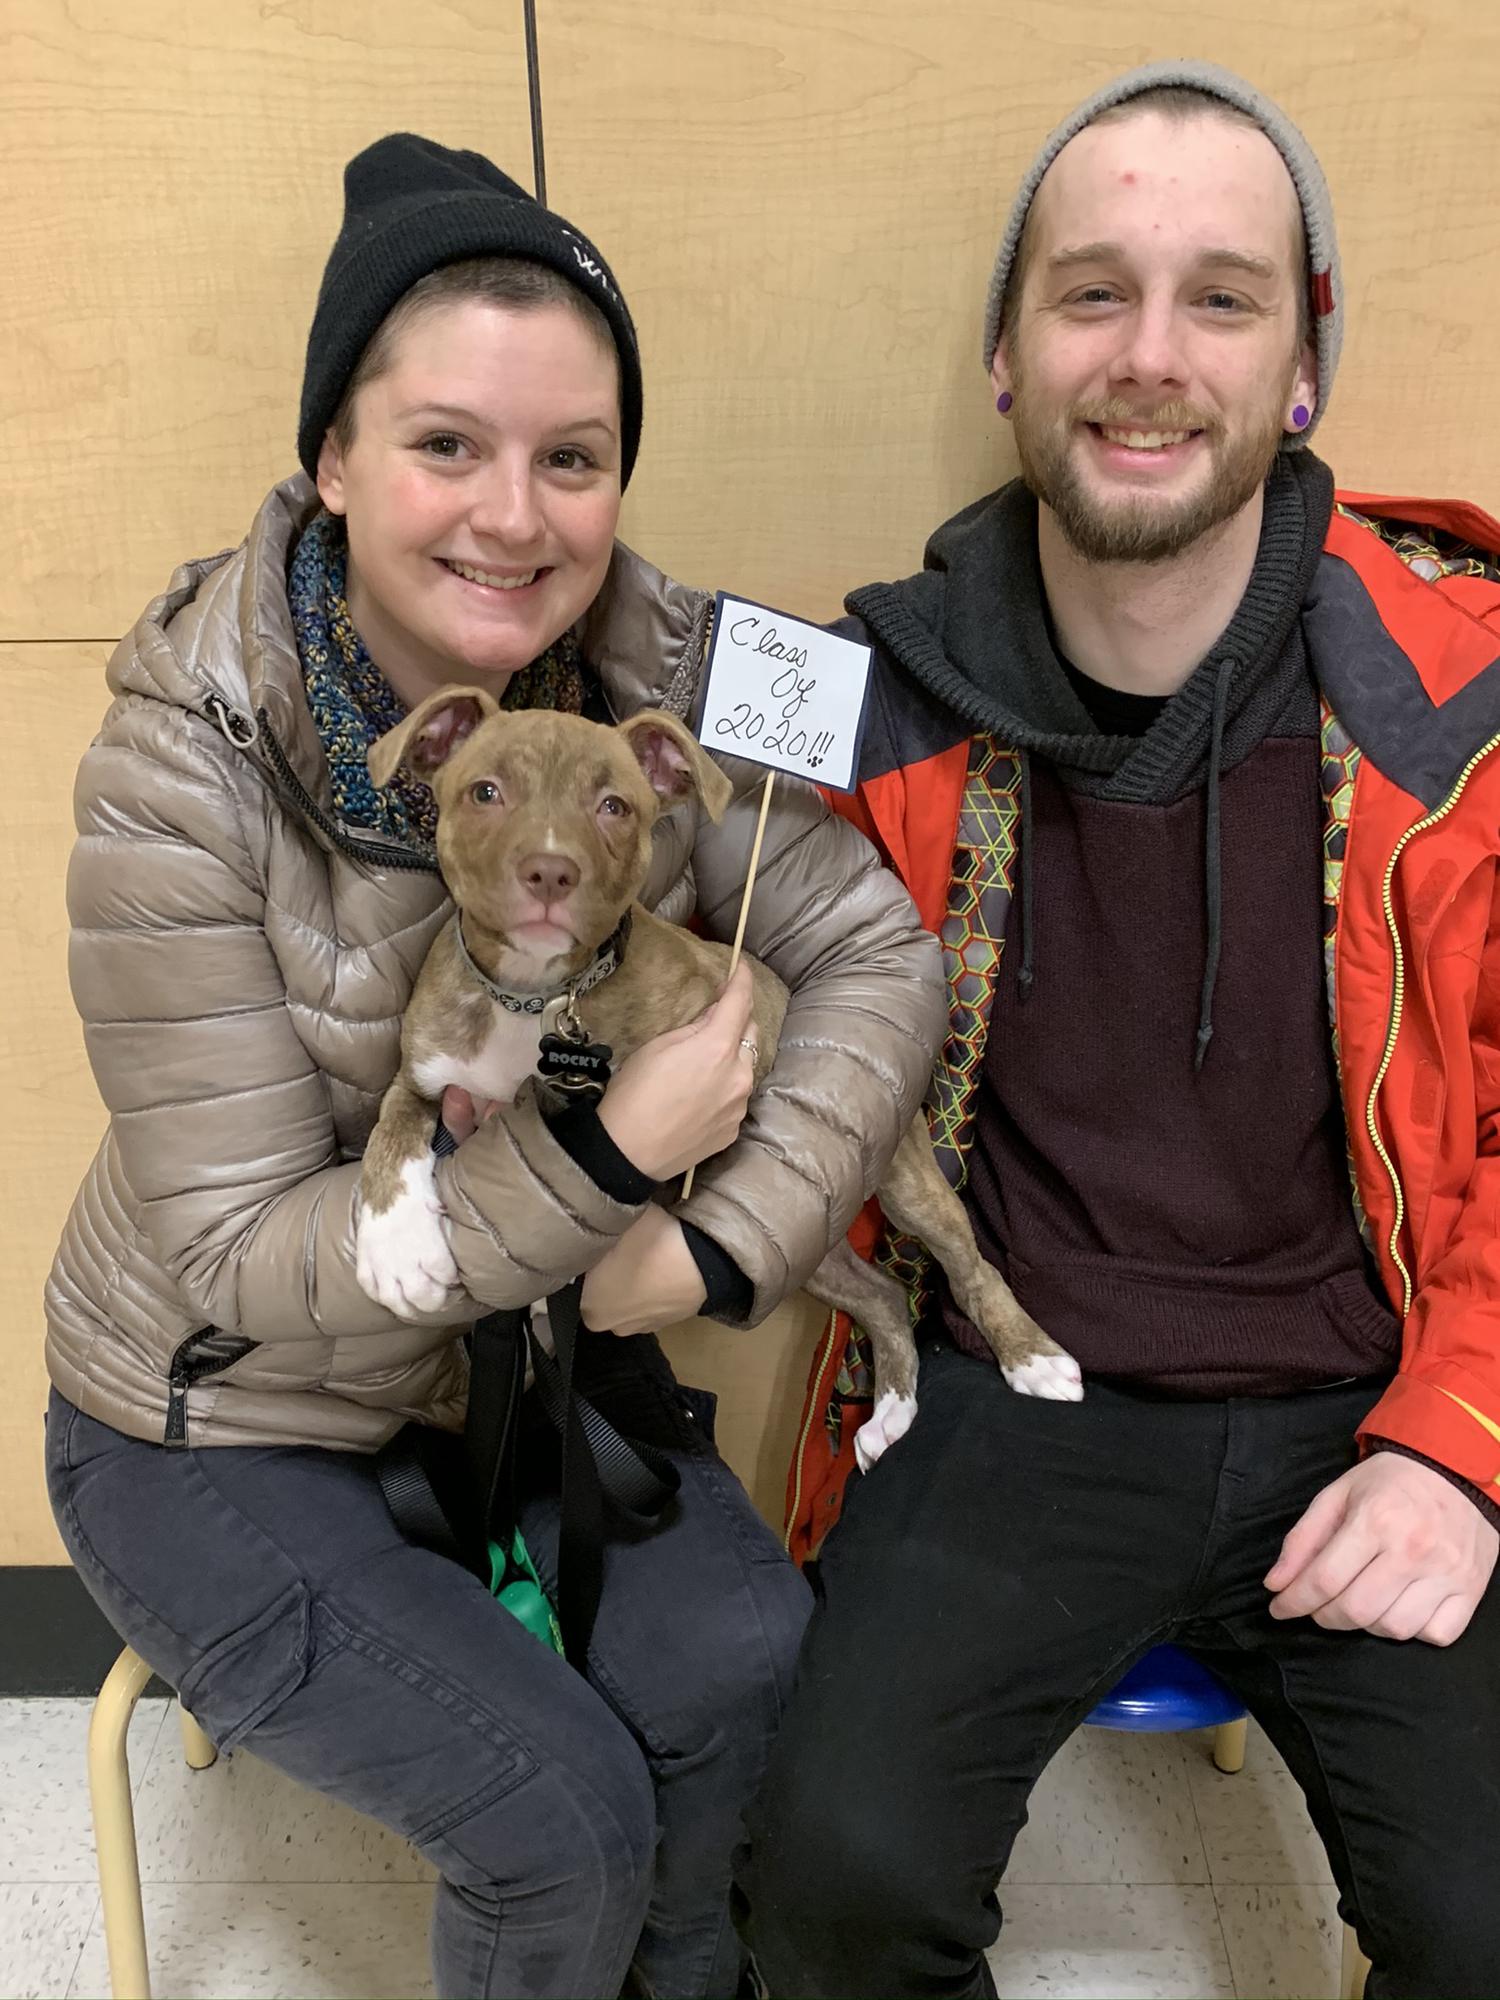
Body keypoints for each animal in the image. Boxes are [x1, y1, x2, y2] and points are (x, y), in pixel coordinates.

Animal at [352, 688, 1080, 1472]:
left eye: (614, 806)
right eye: (485, 792)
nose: (551, 871)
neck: (530, 994)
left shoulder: (723, 1021)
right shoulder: (424, 1076)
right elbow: (390, 1131)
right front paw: (396, 1244)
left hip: (904, 1182)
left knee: (970, 1267)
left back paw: (1033, 1359)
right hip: (811, 1245)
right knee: (881, 1294)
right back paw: (890, 1409)